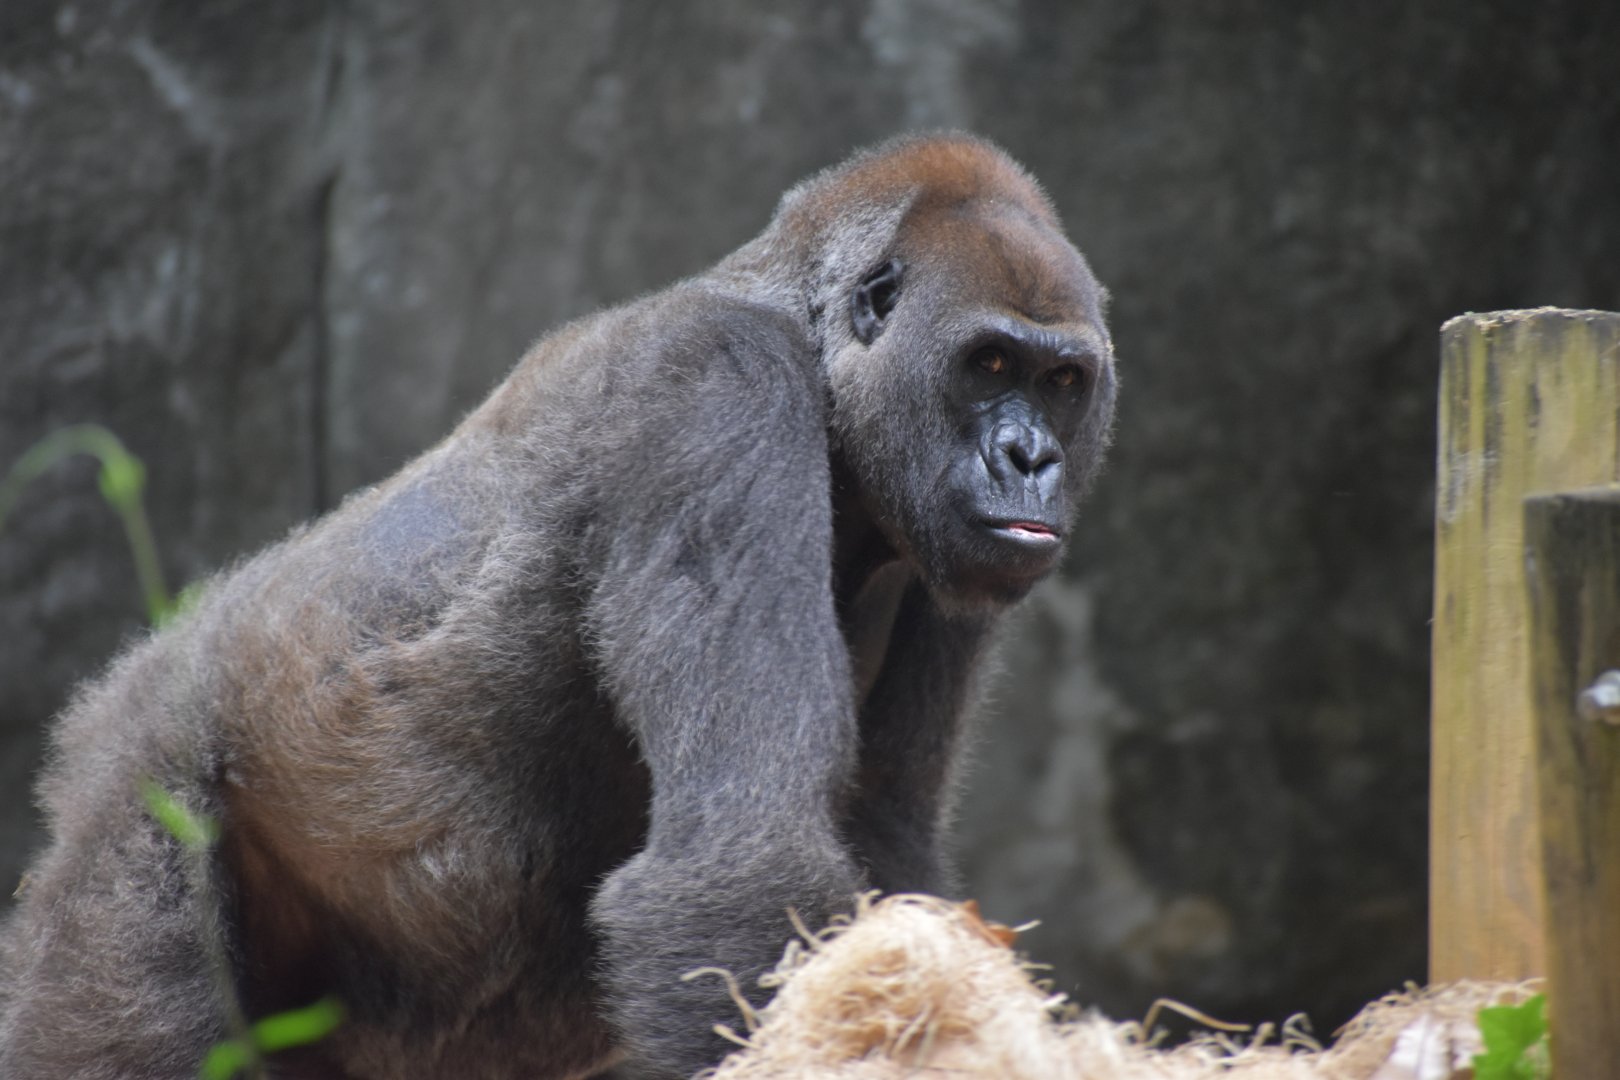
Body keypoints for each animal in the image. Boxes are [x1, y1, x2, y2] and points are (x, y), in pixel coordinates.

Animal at [0, 133, 1116, 1079]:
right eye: (988, 365)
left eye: (1063, 381)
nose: (1031, 460)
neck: (801, 328)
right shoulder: (715, 390)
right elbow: (738, 859)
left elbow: (889, 858)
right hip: (140, 788)